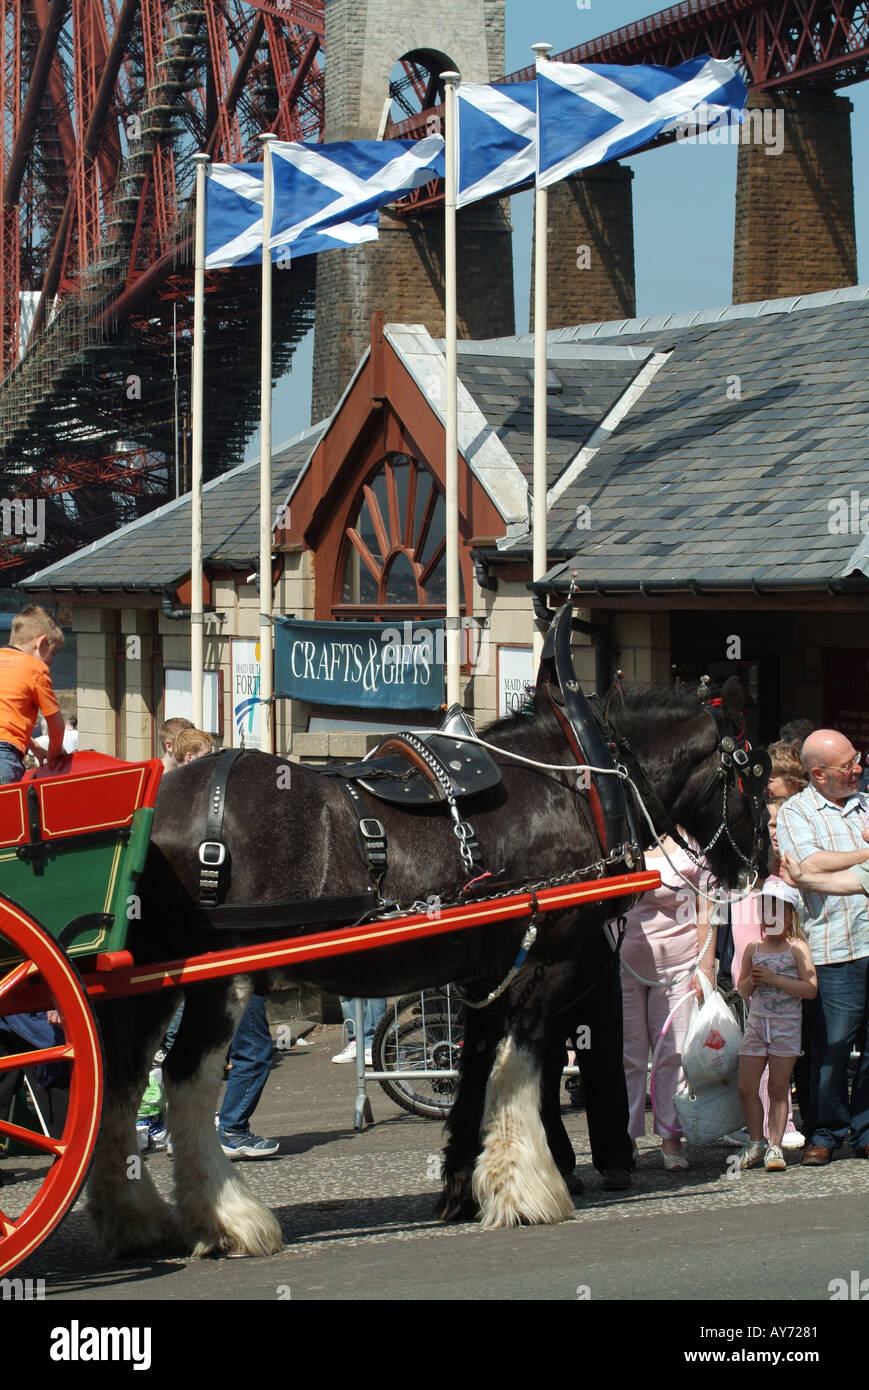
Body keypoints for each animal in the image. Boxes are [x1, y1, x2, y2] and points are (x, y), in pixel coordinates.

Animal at [88, 672, 761, 1262]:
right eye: (753, 771)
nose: (757, 865)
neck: (578, 784)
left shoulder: (485, 974)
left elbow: (474, 1072)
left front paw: (466, 1188)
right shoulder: (544, 963)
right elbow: (520, 1068)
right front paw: (529, 1188)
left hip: (145, 983)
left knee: (119, 1078)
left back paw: (133, 1219)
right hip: (217, 979)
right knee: (185, 1078)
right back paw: (228, 1220)